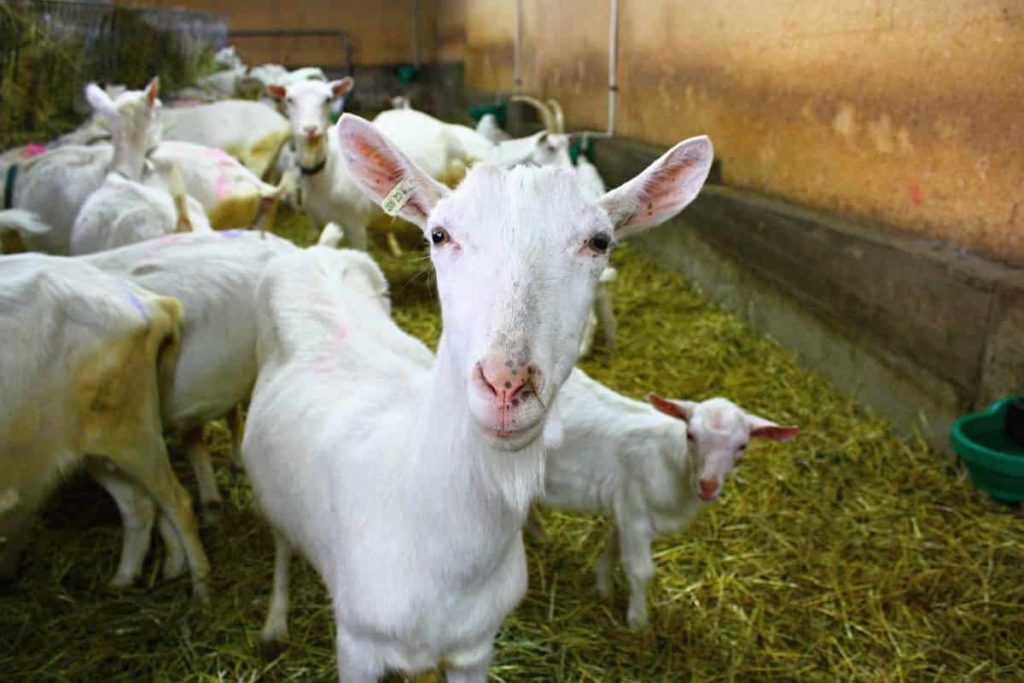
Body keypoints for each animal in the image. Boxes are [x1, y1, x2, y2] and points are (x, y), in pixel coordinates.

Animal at [242, 113, 713, 680]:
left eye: (600, 241)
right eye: (439, 234)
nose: (507, 385)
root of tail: (314, 254)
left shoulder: (475, 647)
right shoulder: (357, 645)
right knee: (282, 541)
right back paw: (273, 623)